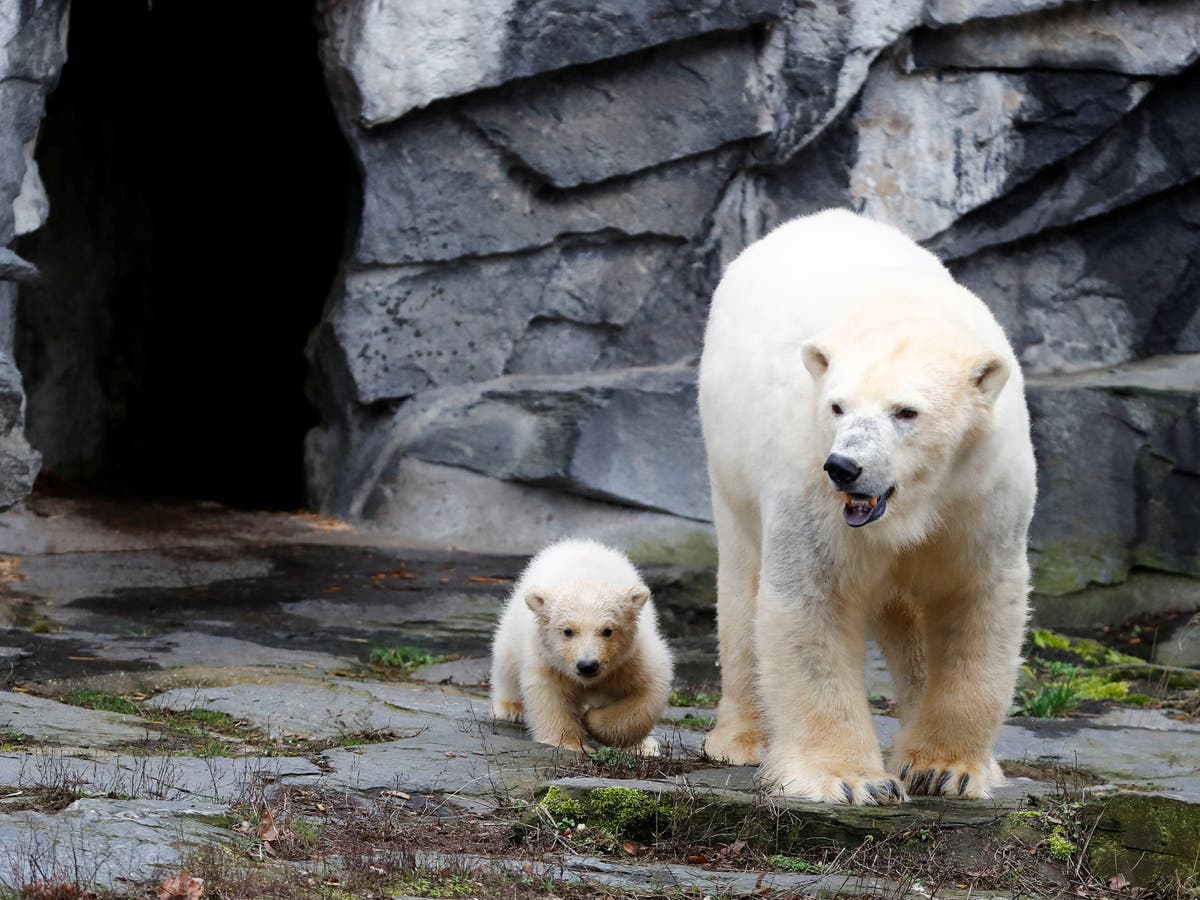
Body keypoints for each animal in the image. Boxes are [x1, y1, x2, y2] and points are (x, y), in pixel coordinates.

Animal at [489, 542, 676, 753]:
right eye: (568, 631)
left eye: (608, 631)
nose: (587, 665)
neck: (586, 578)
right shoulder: (547, 657)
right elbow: (550, 694)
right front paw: (571, 743)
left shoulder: (632, 657)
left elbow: (648, 691)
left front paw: (596, 722)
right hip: (512, 628)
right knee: (506, 661)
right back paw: (511, 708)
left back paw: (644, 745)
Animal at [700, 211, 1036, 811]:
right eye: (838, 406)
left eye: (906, 412)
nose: (845, 467)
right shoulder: (808, 483)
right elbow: (814, 601)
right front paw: (851, 779)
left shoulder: (981, 492)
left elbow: (973, 602)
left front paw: (944, 770)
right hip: (730, 462)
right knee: (742, 584)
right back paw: (741, 740)